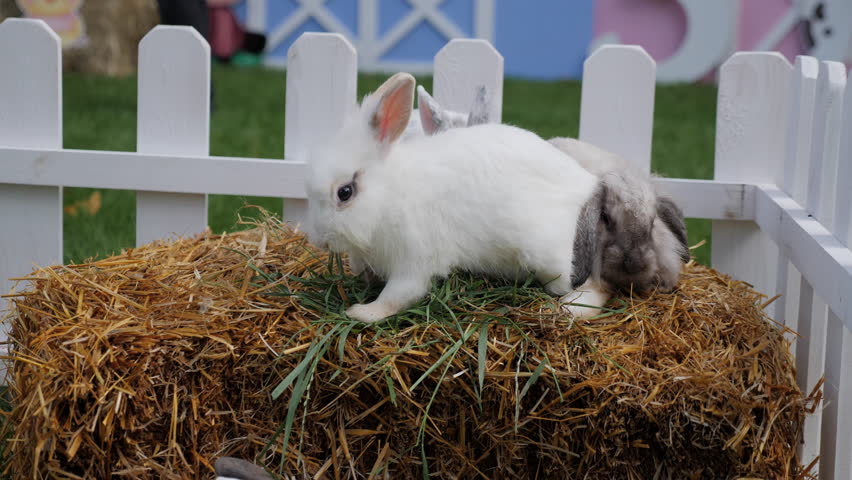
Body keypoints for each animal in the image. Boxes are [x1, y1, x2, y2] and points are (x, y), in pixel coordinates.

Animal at [302, 72, 612, 323]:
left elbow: (398, 295)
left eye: (345, 192)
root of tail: (586, 182)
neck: (389, 194)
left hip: (549, 258)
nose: (318, 240)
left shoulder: (415, 257)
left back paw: (571, 307)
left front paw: (361, 313)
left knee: (594, 286)